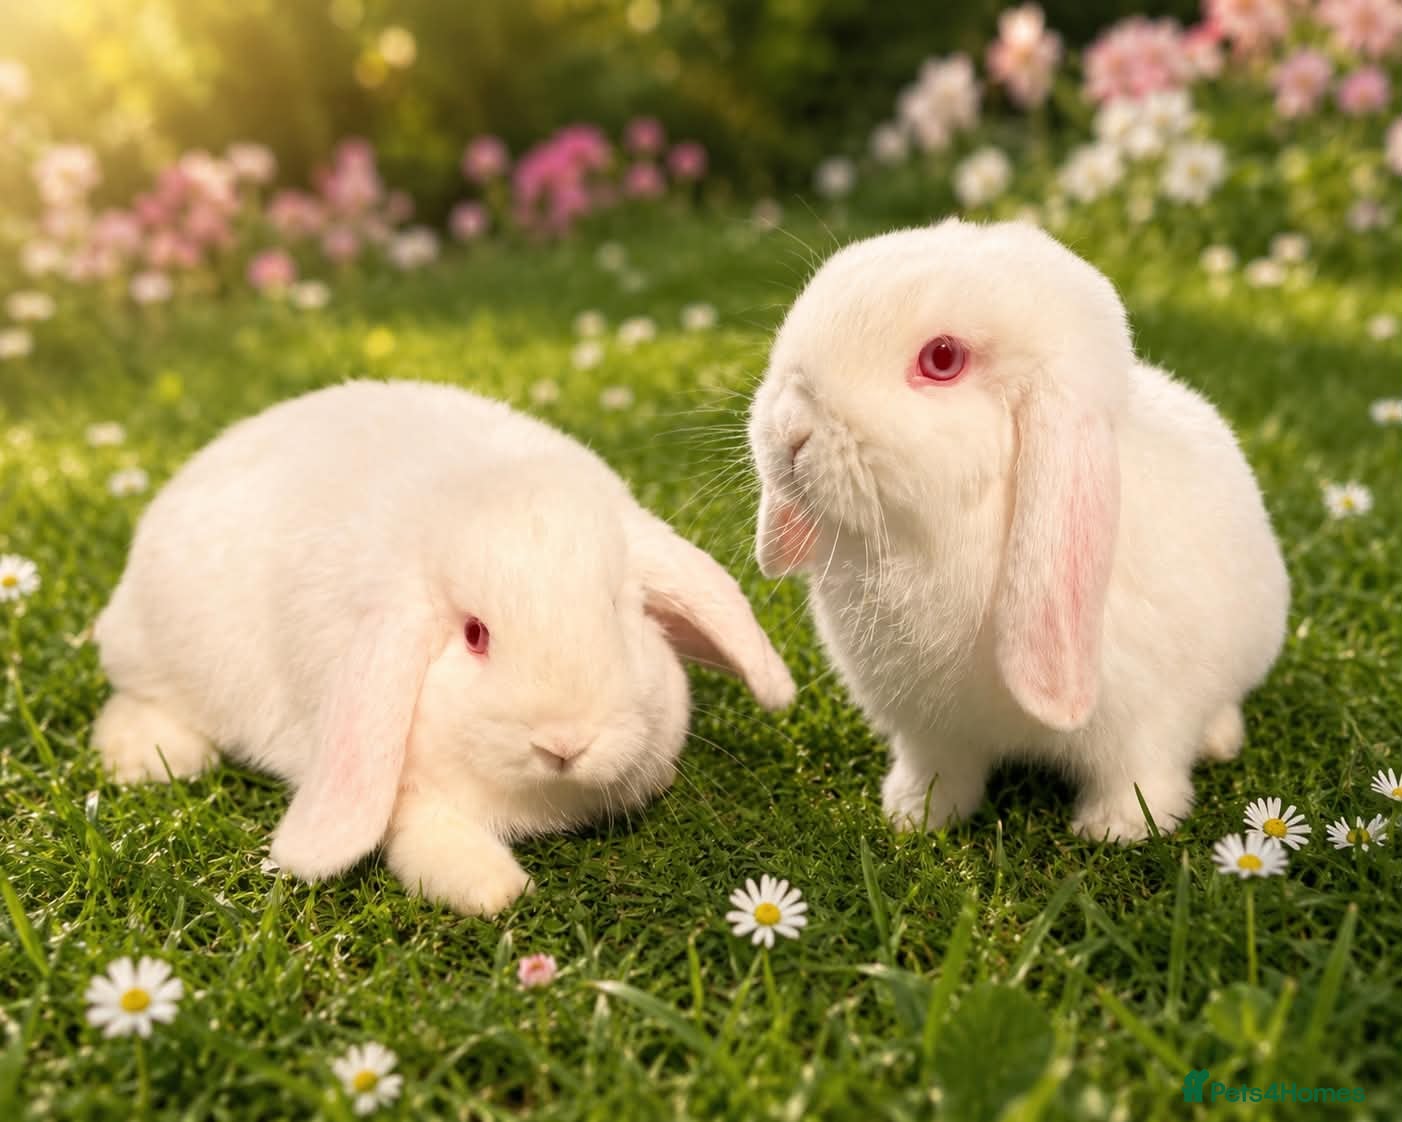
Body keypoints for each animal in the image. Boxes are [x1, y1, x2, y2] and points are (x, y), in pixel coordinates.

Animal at [93, 379, 795, 915]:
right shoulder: (408, 791)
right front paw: (498, 891)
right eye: (474, 634)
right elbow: (427, 837)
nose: (564, 743)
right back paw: (145, 756)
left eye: (618, 612)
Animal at [747, 219, 1288, 842]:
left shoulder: (1147, 724)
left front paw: (1117, 830)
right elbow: (938, 772)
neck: (945, 535)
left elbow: (1138, 776)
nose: (790, 428)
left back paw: (1220, 742)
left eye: (941, 358)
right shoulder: (932, 732)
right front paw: (915, 816)